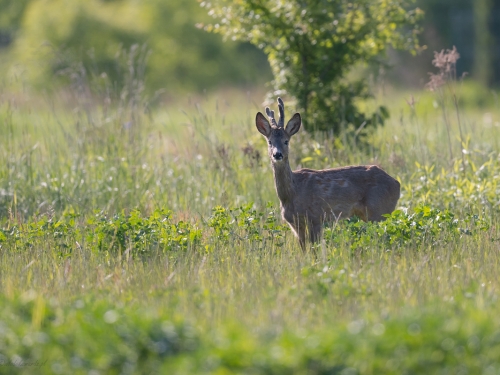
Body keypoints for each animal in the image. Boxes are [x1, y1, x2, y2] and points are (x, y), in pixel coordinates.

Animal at [256, 97, 400, 250]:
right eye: (269, 141)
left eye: (286, 141)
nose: (277, 154)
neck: (291, 193)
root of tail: (397, 183)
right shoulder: (295, 224)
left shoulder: (316, 217)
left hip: (380, 209)